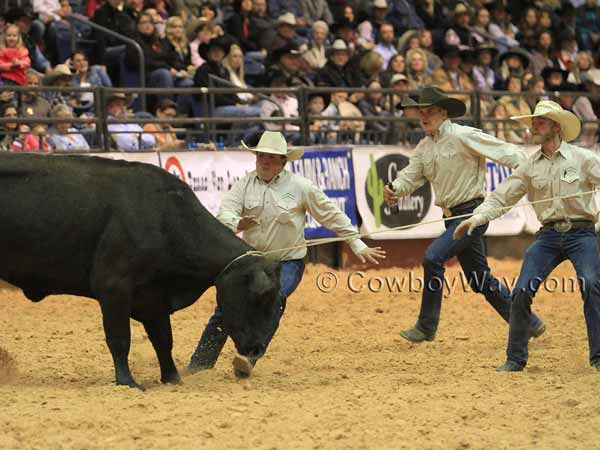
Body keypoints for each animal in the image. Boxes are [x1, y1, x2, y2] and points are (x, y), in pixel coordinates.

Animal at [0, 153, 282, 388]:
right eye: (260, 296)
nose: (257, 349)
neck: (164, 218)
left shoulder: (153, 297)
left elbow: (163, 340)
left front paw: (172, 378)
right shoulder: (114, 288)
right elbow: (119, 339)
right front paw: (127, 382)